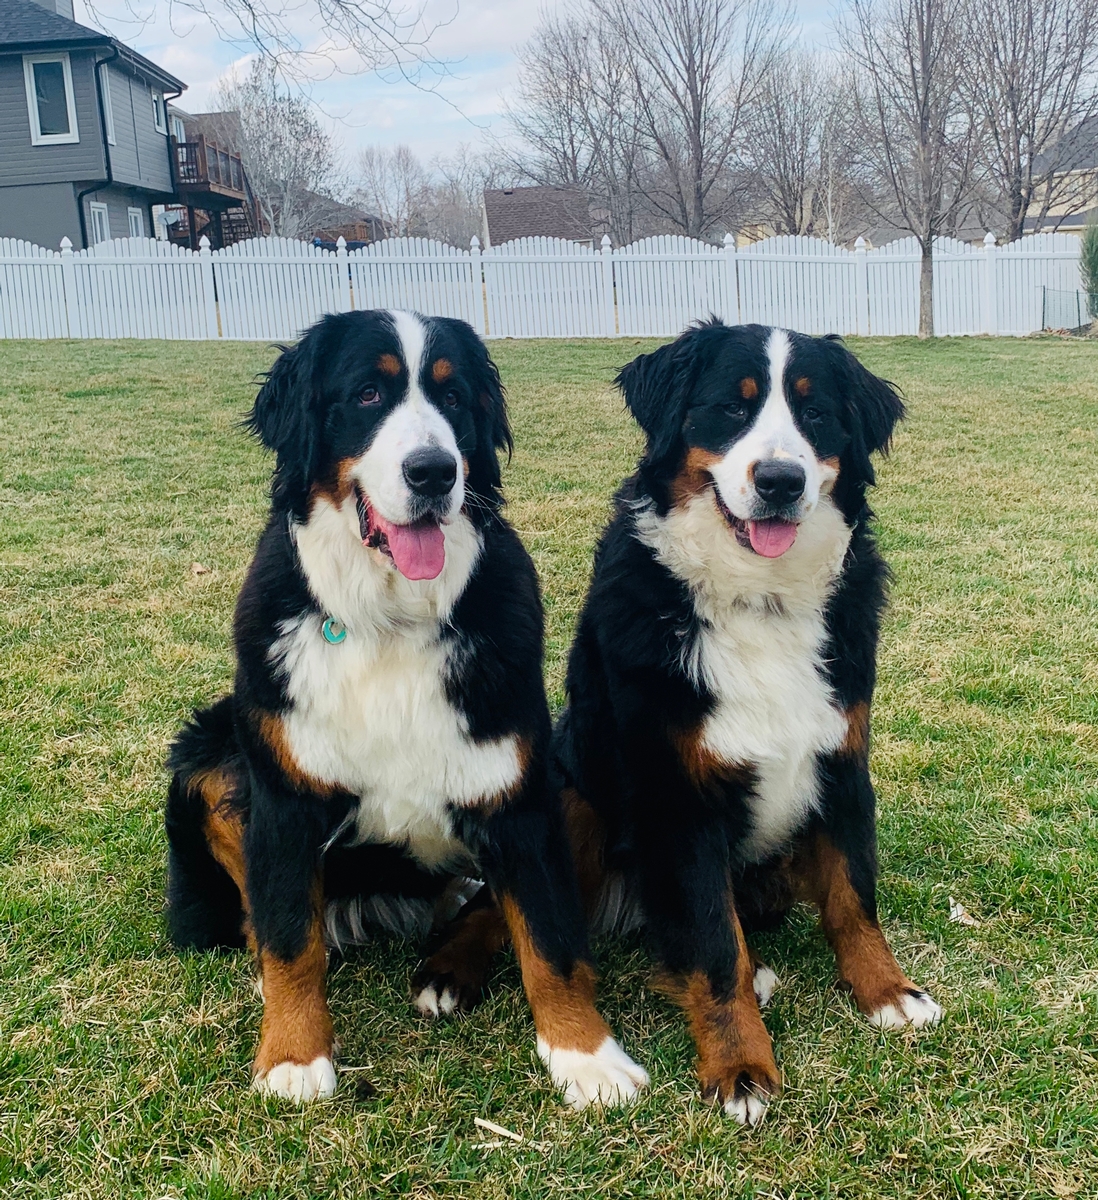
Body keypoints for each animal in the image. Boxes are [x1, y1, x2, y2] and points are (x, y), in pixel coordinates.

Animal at [166, 307, 648, 1104]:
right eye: (367, 393)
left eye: (453, 399)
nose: (434, 471)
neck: (390, 616)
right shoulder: (283, 798)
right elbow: (291, 938)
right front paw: (294, 1055)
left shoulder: (517, 794)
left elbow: (549, 939)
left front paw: (587, 1055)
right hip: (208, 761)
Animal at [559, 319, 945, 1123]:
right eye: (731, 409)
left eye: (816, 414)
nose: (780, 481)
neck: (760, 599)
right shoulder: (681, 801)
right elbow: (713, 949)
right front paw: (739, 1065)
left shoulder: (841, 761)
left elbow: (854, 898)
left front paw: (888, 991)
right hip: (576, 785)